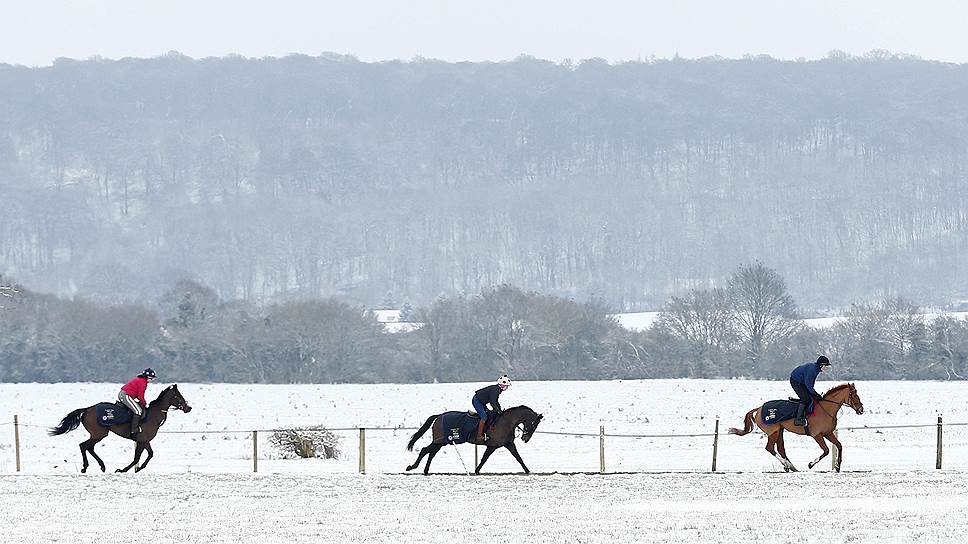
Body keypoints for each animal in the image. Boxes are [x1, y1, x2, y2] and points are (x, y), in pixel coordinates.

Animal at [49, 386, 193, 472]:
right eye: (177, 395)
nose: (188, 408)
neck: (153, 415)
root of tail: (87, 409)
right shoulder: (141, 440)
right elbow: (136, 458)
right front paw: (123, 470)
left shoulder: (145, 440)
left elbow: (150, 454)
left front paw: (140, 468)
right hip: (99, 434)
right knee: (84, 446)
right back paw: (87, 467)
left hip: (97, 434)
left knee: (88, 447)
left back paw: (100, 466)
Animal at [406, 406, 544, 474]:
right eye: (533, 424)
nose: (525, 438)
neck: (507, 422)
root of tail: (438, 416)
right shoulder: (492, 446)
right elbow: (484, 458)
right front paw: (477, 470)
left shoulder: (508, 444)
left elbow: (518, 458)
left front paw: (527, 471)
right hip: (440, 441)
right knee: (425, 450)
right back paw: (412, 467)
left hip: (441, 442)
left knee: (431, 453)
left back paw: (425, 470)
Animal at [728, 382, 864, 472]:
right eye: (853, 395)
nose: (861, 409)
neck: (826, 409)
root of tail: (759, 408)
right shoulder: (817, 435)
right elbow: (826, 450)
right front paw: (811, 464)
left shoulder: (828, 433)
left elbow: (839, 446)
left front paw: (837, 466)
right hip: (773, 432)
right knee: (770, 448)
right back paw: (787, 465)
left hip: (780, 431)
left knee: (781, 449)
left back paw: (791, 466)